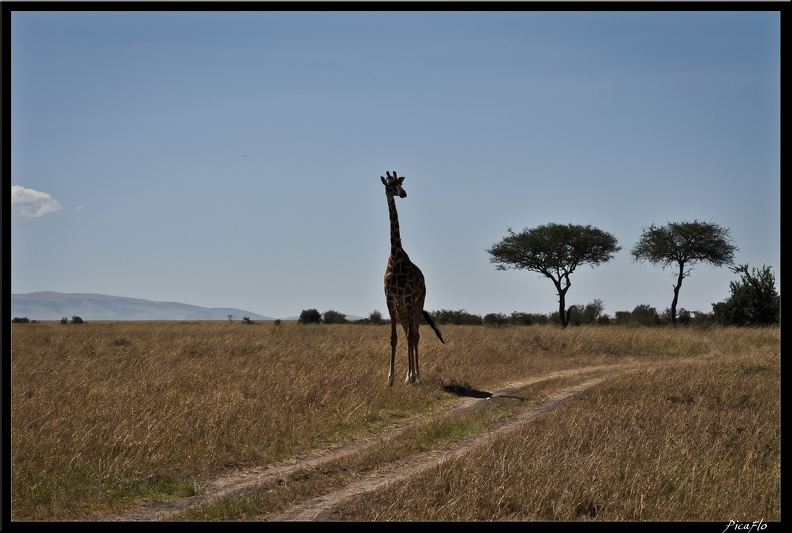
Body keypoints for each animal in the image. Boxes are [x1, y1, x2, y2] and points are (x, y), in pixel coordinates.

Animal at [378, 168, 442, 384]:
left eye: (401, 182)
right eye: (390, 184)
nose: (403, 193)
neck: (396, 257)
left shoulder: (407, 298)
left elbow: (410, 336)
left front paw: (412, 376)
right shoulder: (390, 299)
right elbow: (394, 338)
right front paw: (390, 379)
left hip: (417, 302)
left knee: (415, 334)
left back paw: (416, 376)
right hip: (403, 306)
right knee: (409, 332)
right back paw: (409, 375)